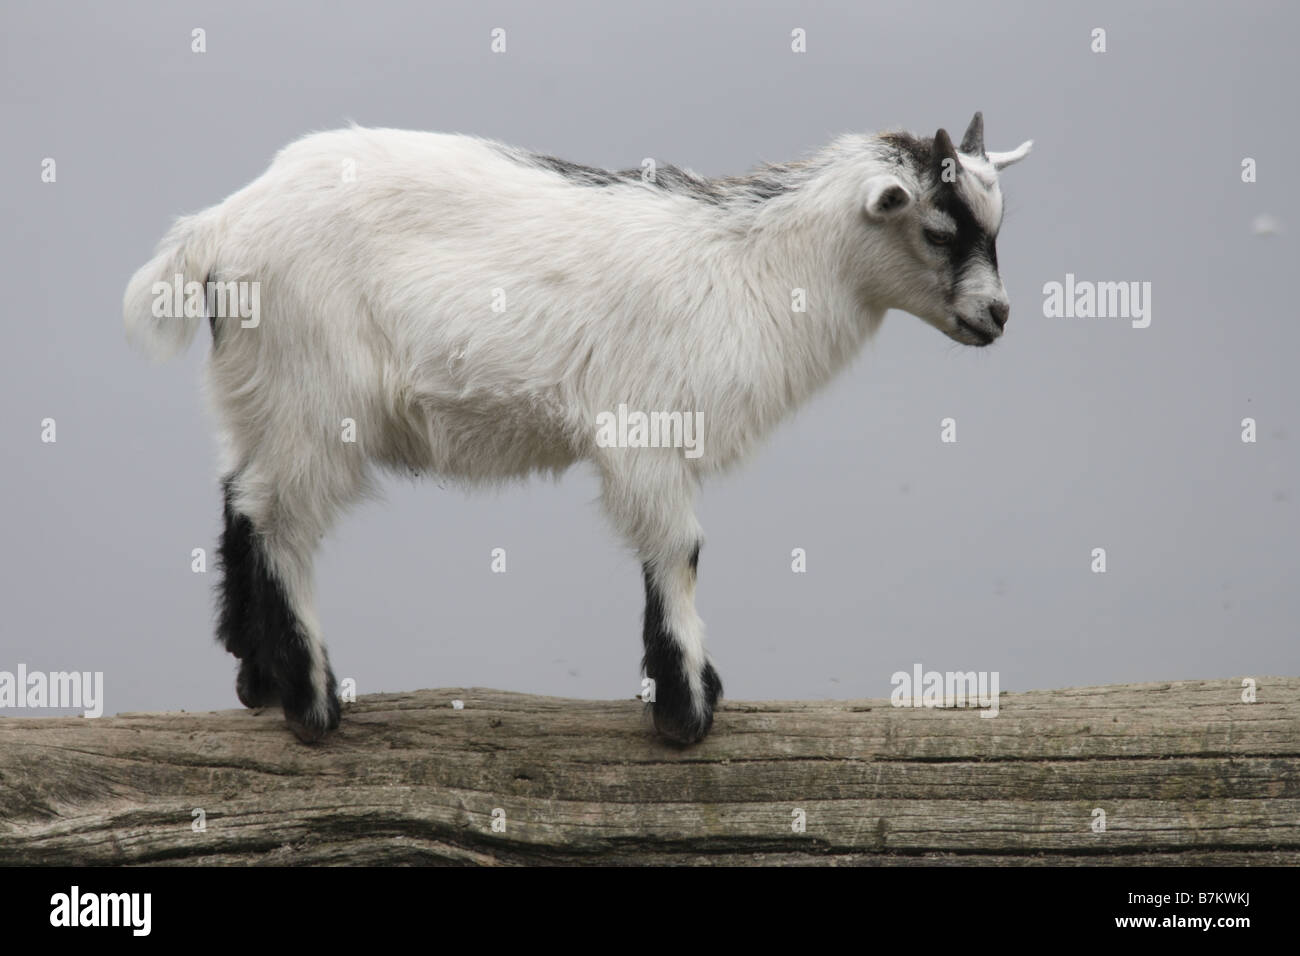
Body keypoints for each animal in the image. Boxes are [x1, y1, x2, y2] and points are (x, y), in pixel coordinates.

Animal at [124, 113, 1034, 749]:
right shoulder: (647, 433)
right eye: (938, 229)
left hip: (257, 394)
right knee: (281, 522)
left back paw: (258, 678)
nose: (996, 316)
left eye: (996, 228)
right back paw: (313, 702)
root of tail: (220, 226)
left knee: (240, 497)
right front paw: (685, 711)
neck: (752, 267)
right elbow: (679, 551)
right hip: (314, 397)